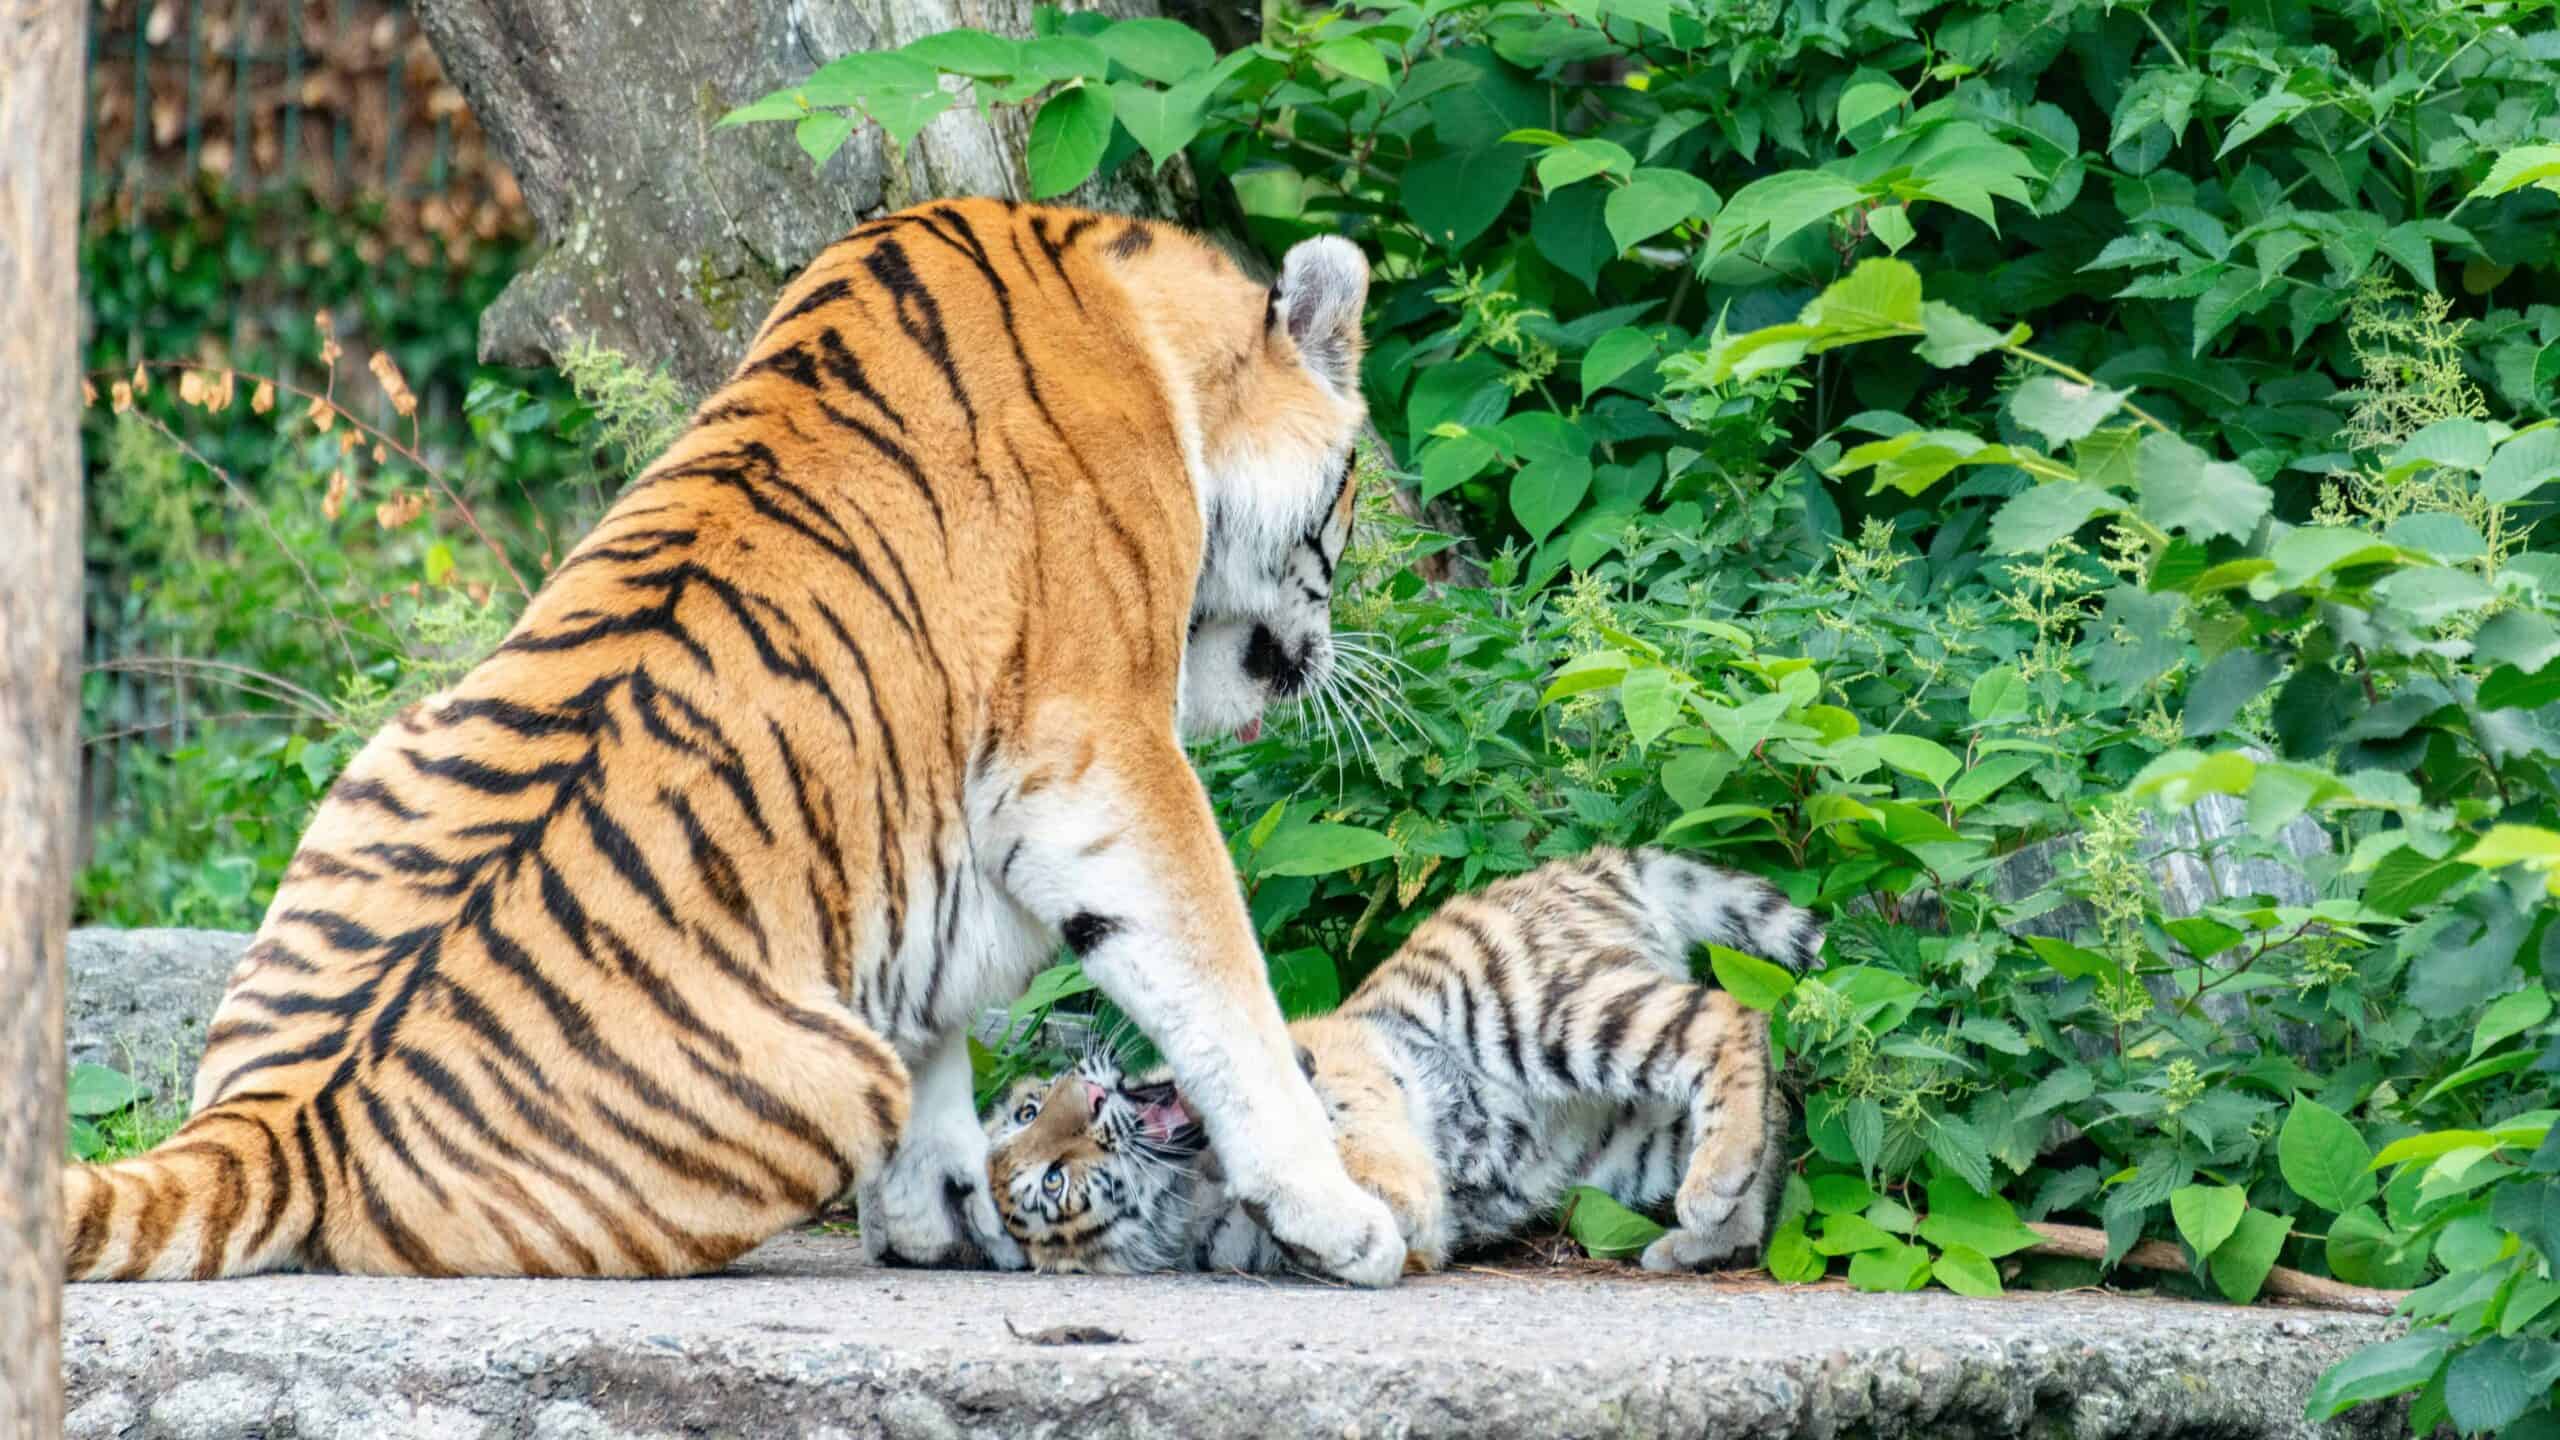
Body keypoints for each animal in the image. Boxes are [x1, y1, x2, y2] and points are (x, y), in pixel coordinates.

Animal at [61, 197, 1409, 1287]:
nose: (1335, 656)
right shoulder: (1098, 751)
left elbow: (936, 1018)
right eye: (1352, 493)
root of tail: (280, 1121)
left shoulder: (922, 826)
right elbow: (1219, 982)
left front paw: (937, 1221)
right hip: (832, 1073)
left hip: (378, 761)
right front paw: (1340, 1218)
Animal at [985, 845, 1824, 1277]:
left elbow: (1349, 1123)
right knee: (1763, 1110)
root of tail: (1590, 864)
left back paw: (1710, 1195)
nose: (1092, 1101)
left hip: (1541, 1012)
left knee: (1731, 1018)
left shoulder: (1321, 1057)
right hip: (1627, 1140)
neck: (1193, 1186)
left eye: (1029, 1110)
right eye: (1053, 1181)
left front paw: (1402, 1191)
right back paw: (1712, 1232)